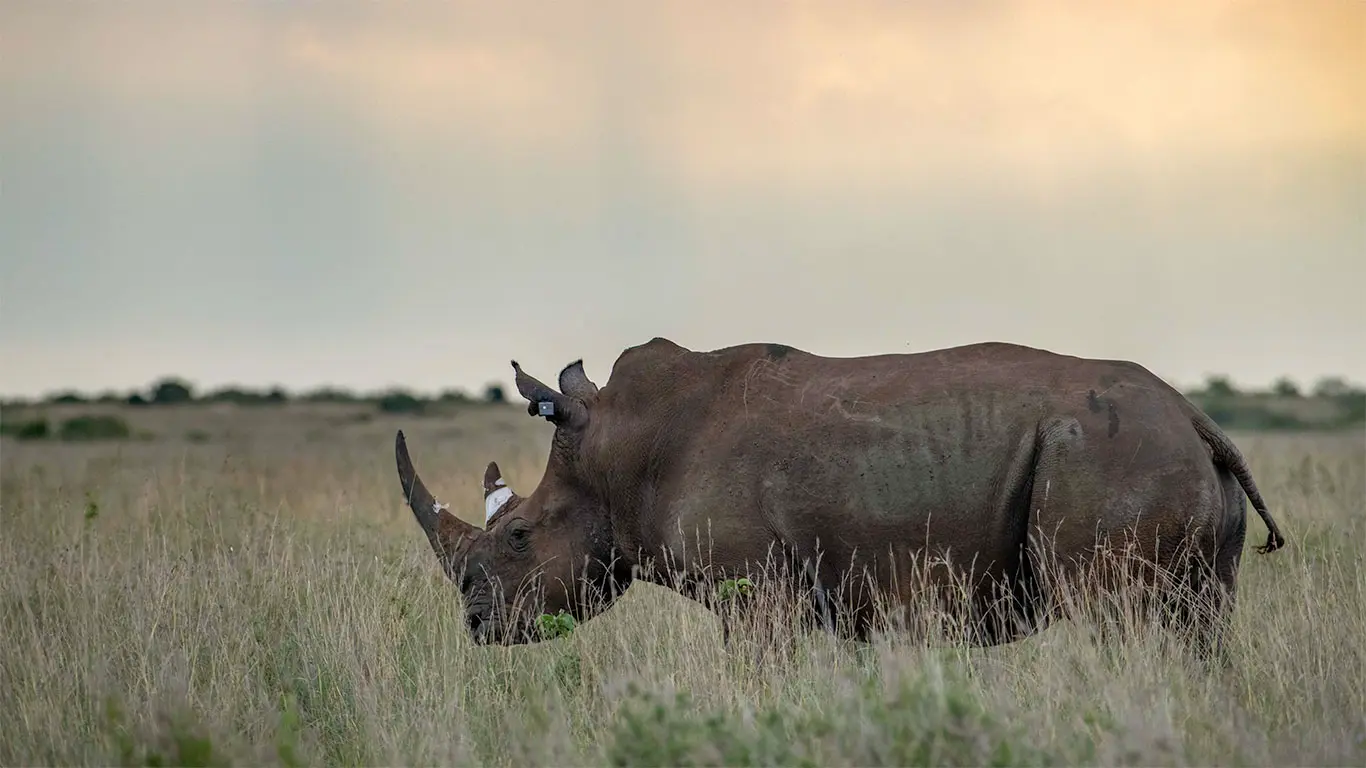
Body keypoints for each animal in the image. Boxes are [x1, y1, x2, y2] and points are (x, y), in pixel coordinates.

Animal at [395, 338, 1285, 653]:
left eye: (520, 536)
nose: (476, 626)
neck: (618, 449)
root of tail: (1196, 416)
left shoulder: (755, 592)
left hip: (1110, 454)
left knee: (1114, 619)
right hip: (1153, 459)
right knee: (1198, 627)